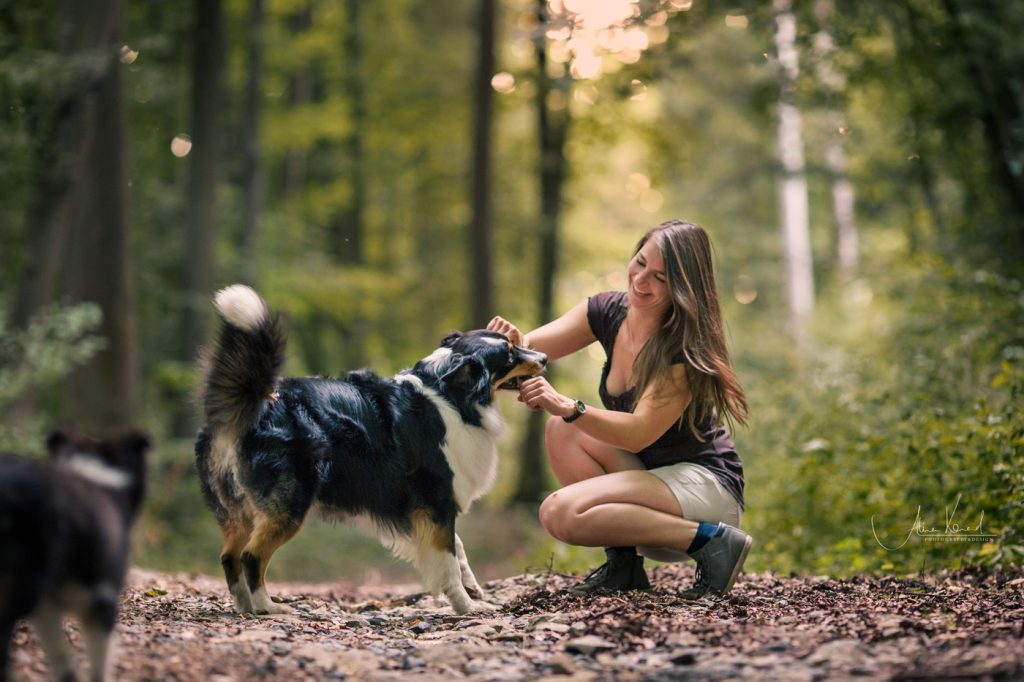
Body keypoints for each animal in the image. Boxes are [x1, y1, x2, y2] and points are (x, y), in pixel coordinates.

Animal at [192, 284, 544, 614]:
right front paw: (466, 605)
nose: (543, 358)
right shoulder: (437, 500)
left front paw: (471, 589)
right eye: (510, 354)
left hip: (237, 510)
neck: (450, 396)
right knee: (251, 556)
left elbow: (456, 550)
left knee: (229, 557)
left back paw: (245, 607)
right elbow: (447, 558)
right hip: (289, 505)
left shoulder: (424, 508)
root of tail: (252, 404)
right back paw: (268, 607)